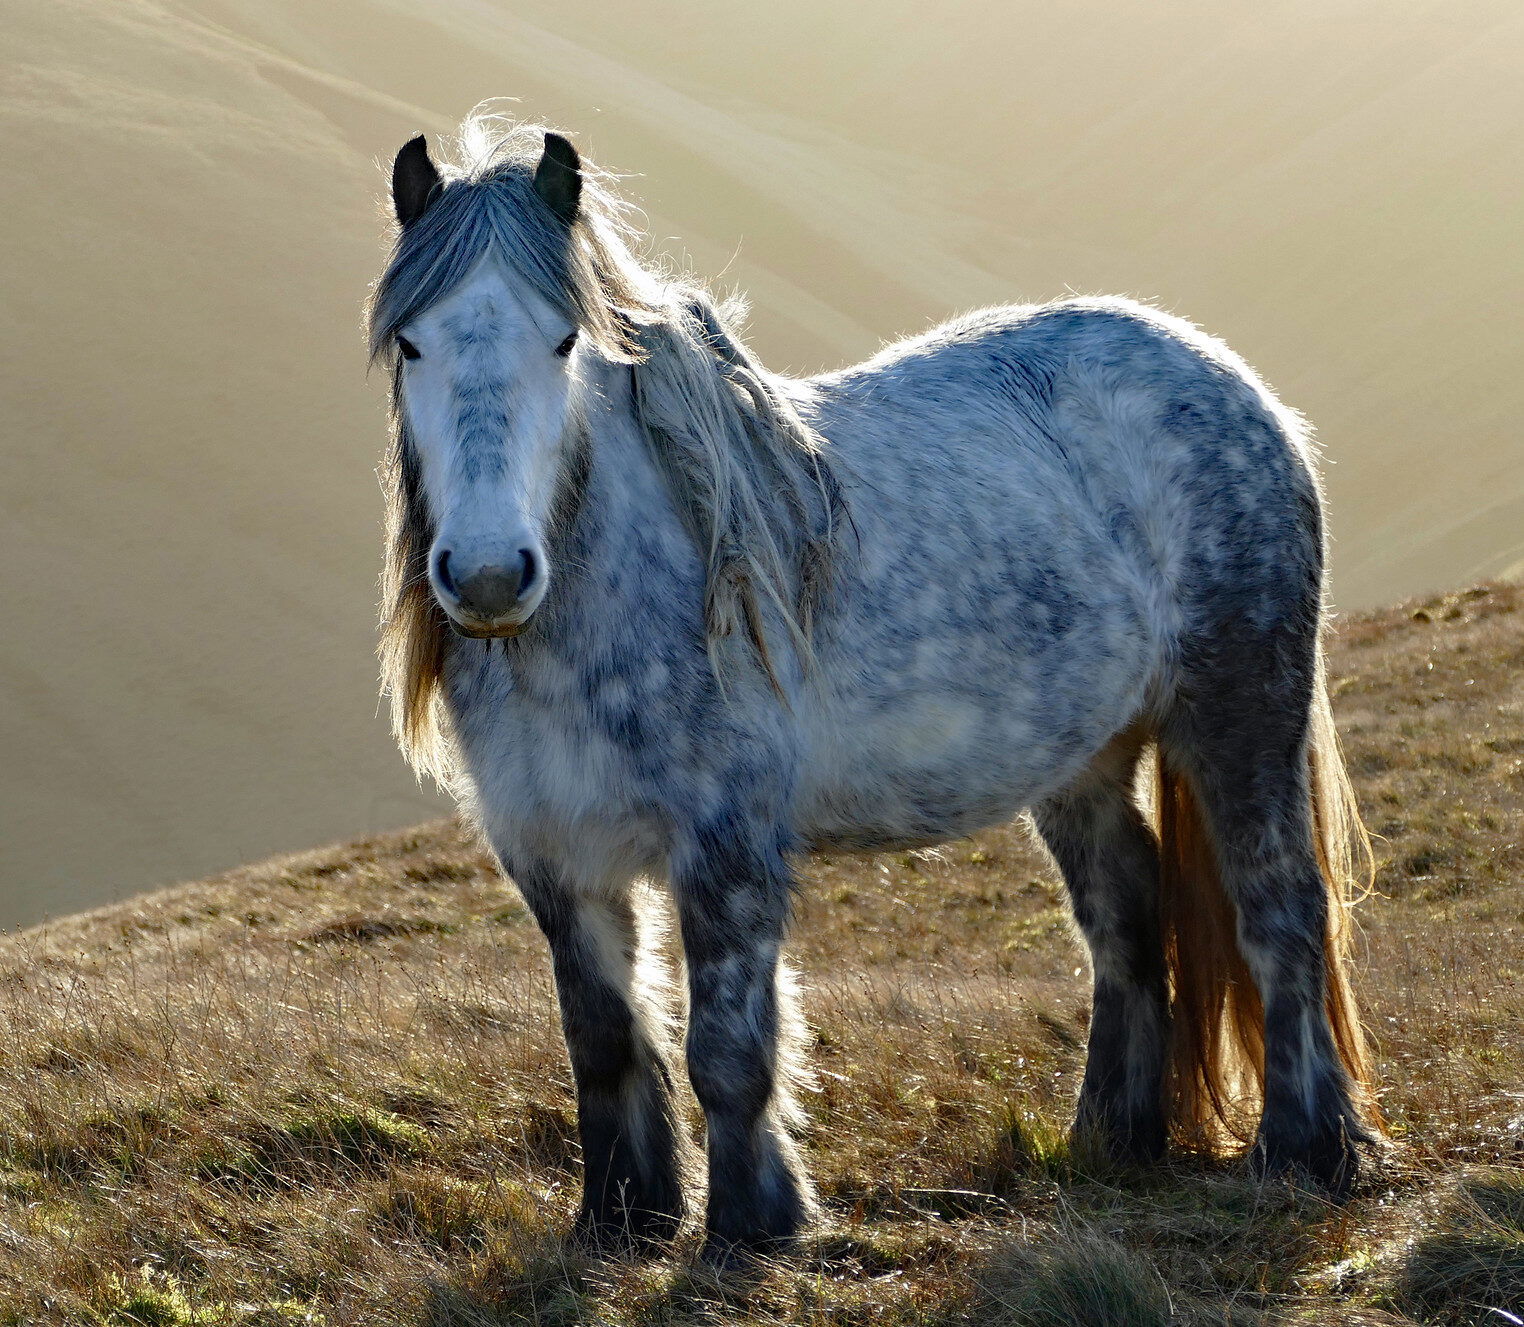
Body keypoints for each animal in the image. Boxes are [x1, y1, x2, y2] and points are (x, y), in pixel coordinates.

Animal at [367, 112, 1378, 1262]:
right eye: (413, 344)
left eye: (564, 340)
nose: (491, 575)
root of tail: (1234, 384)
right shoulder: (554, 857)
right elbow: (605, 1041)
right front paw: (623, 1220)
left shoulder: (727, 844)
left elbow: (726, 1046)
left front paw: (751, 1226)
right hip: (1084, 757)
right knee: (1126, 917)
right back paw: (1112, 1140)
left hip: (1240, 712)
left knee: (1280, 904)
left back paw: (1306, 1148)